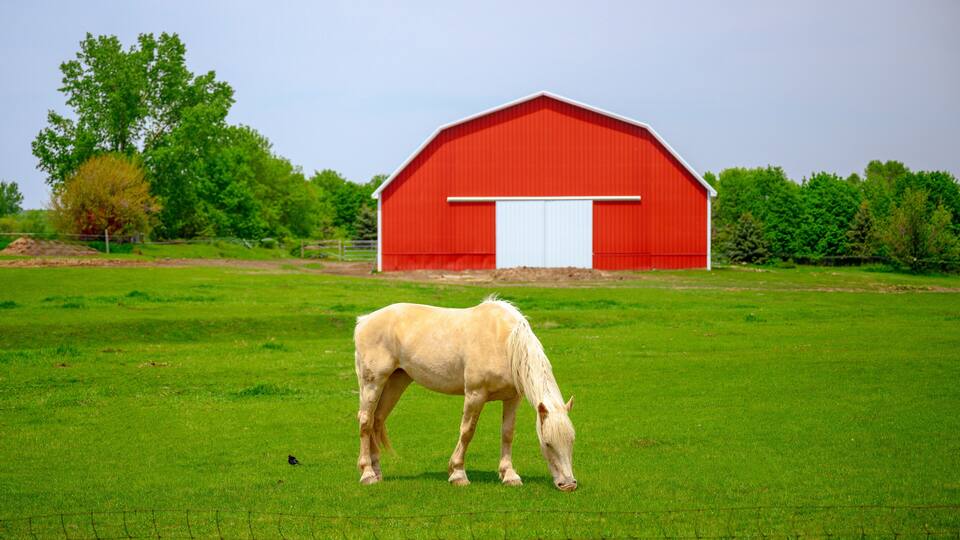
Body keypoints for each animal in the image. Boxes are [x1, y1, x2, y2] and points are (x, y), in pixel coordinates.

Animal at [353, 296, 577, 491]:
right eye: (547, 443)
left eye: (571, 441)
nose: (568, 485)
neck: (504, 341)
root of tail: (363, 321)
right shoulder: (475, 395)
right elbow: (467, 431)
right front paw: (458, 473)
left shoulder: (512, 398)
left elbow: (507, 434)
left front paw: (509, 475)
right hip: (373, 383)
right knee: (365, 421)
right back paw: (367, 474)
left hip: (396, 382)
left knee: (377, 420)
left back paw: (377, 471)